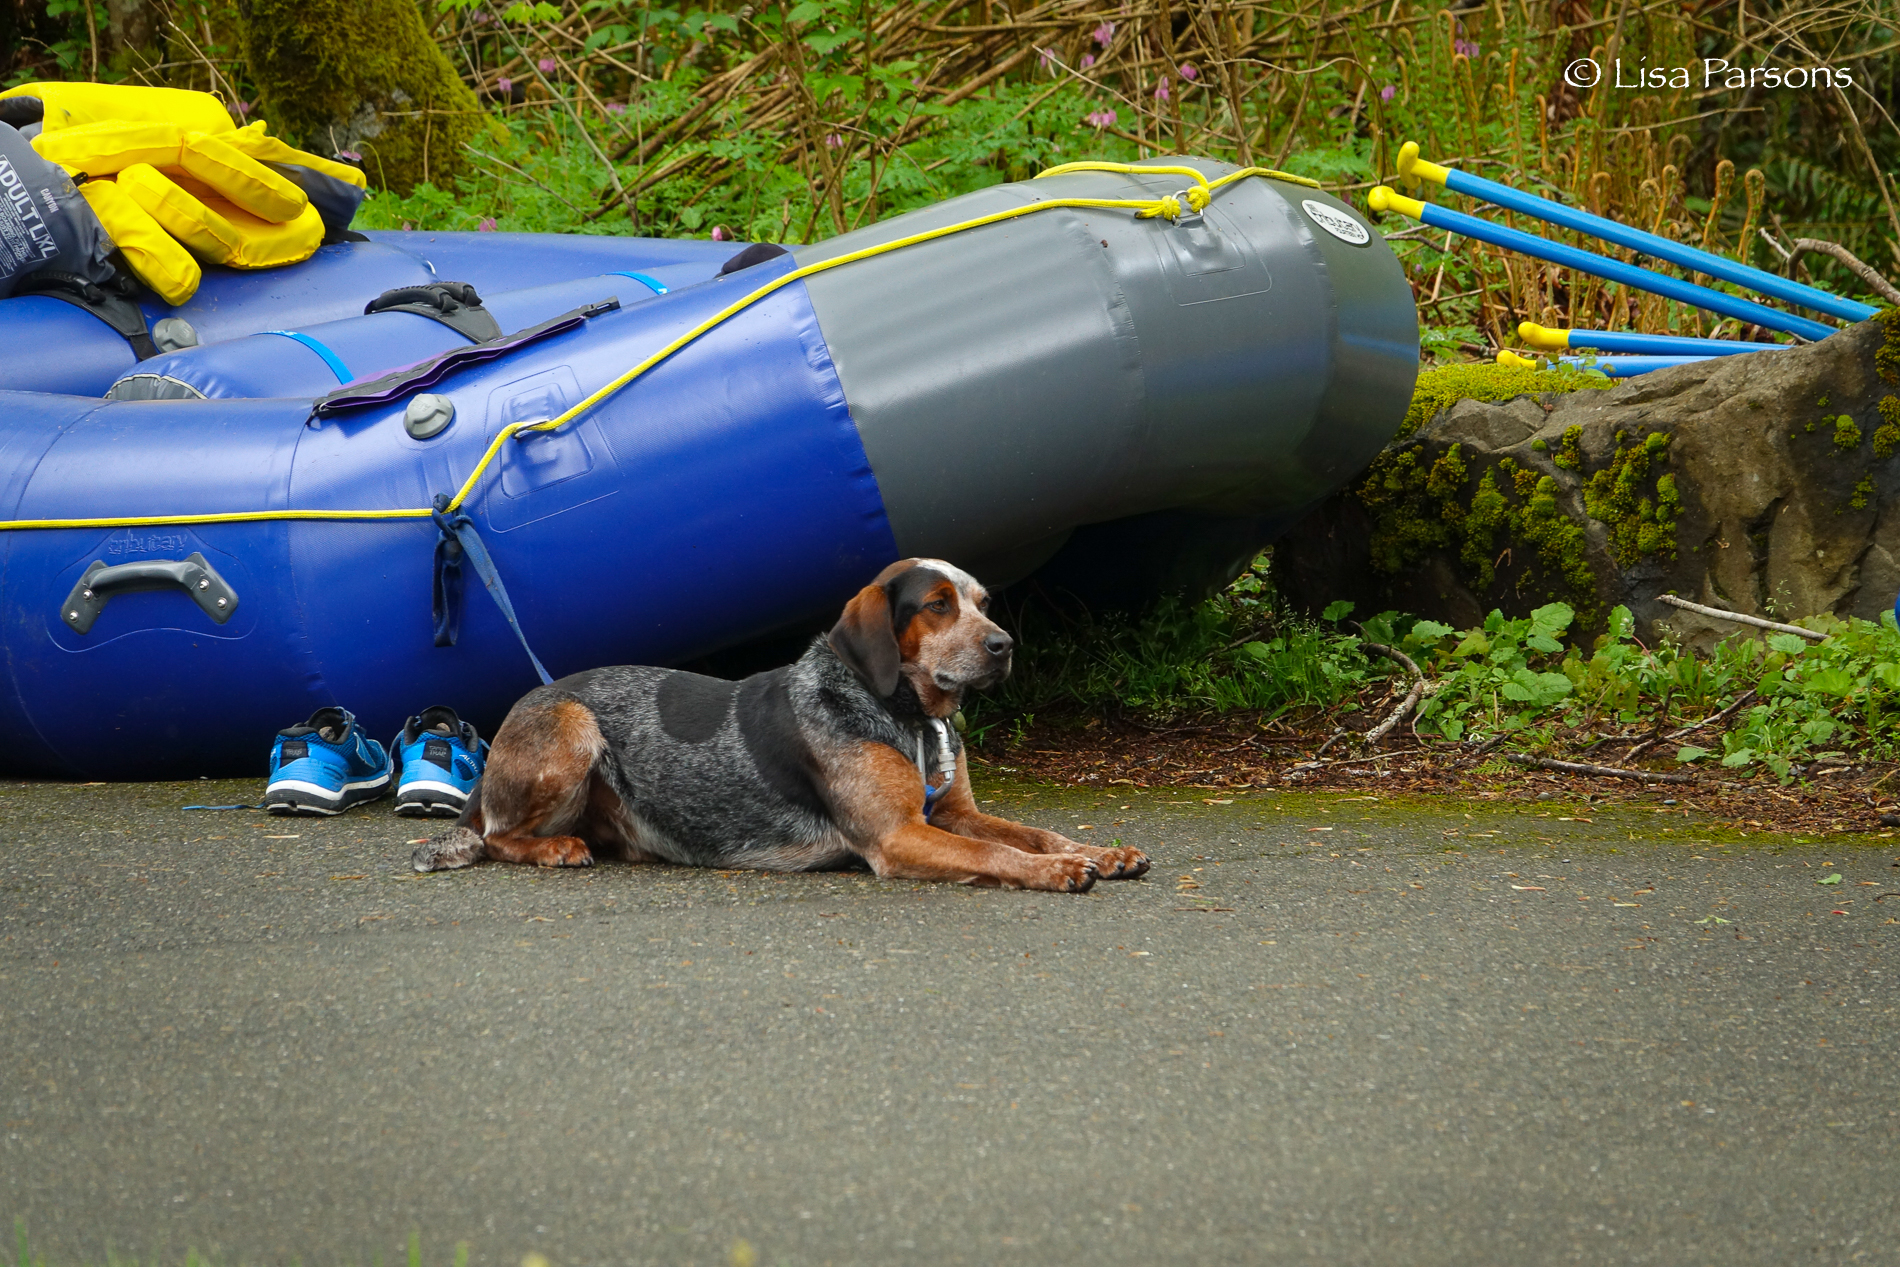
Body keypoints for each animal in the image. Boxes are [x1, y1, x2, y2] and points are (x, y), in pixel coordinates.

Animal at [410, 558, 1147, 896]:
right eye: (937, 606)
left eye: (982, 602)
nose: (1004, 644)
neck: (904, 714)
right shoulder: (899, 836)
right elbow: (999, 855)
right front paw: (1057, 871)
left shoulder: (955, 812)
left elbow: (1033, 832)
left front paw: (1099, 851)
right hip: (572, 725)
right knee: (497, 835)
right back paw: (551, 848)